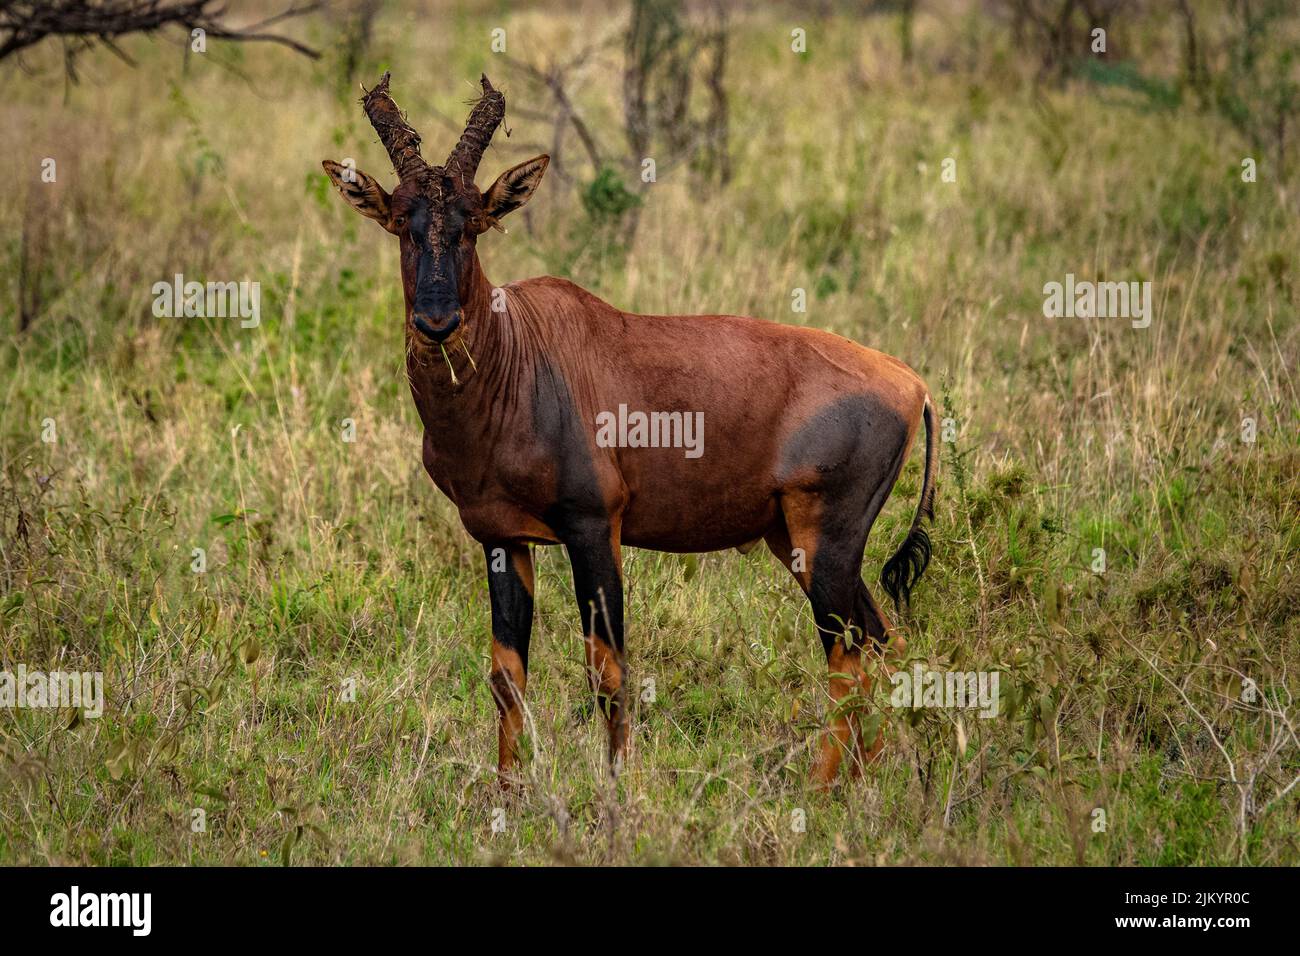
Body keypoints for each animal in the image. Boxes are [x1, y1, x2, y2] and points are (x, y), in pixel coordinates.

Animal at [323, 74, 935, 790]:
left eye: (474, 223)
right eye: (402, 222)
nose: (437, 323)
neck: (519, 352)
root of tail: (911, 382)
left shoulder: (594, 528)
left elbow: (608, 672)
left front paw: (618, 789)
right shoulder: (501, 538)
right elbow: (506, 674)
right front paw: (506, 794)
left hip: (827, 542)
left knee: (849, 660)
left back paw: (820, 788)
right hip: (793, 539)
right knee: (882, 640)